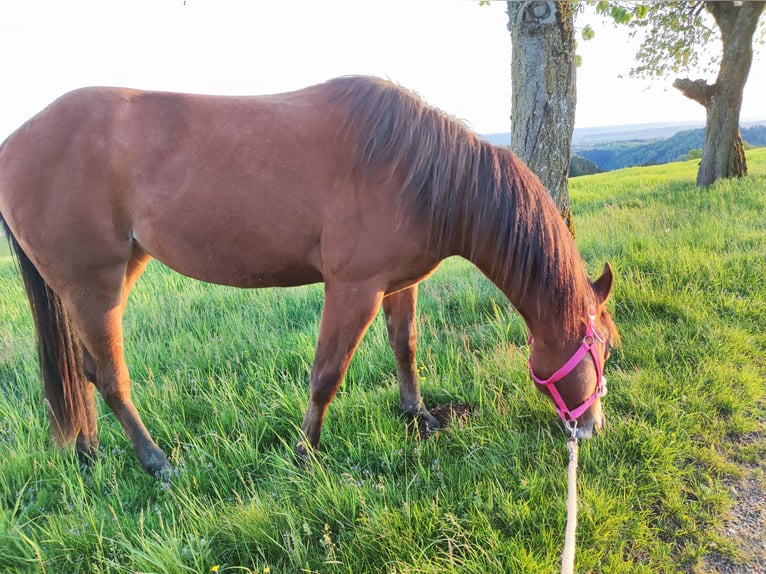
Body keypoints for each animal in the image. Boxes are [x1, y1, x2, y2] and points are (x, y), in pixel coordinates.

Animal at [0, 77, 616, 482]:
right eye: (603, 348)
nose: (591, 428)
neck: (416, 168)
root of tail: (15, 144)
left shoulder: (398, 284)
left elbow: (405, 347)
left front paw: (417, 416)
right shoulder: (353, 289)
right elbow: (326, 373)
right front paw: (306, 454)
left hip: (112, 276)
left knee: (83, 371)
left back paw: (90, 455)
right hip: (93, 284)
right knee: (109, 377)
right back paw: (156, 464)